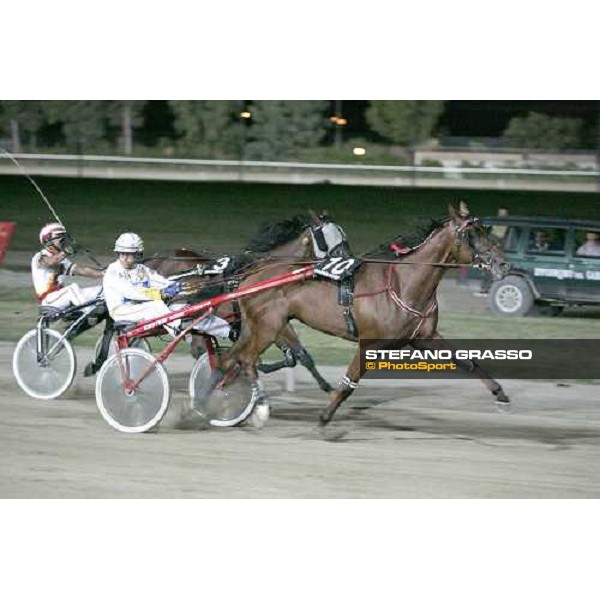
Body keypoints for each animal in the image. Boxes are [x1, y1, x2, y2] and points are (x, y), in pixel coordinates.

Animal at [221, 202, 510, 426]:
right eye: (471, 234)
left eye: (485, 230)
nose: (504, 263)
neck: (404, 283)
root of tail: (252, 274)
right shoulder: (369, 343)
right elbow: (349, 382)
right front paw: (325, 417)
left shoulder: (424, 337)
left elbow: (467, 361)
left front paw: (500, 394)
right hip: (269, 326)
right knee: (246, 359)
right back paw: (258, 408)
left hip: (257, 326)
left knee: (230, 359)